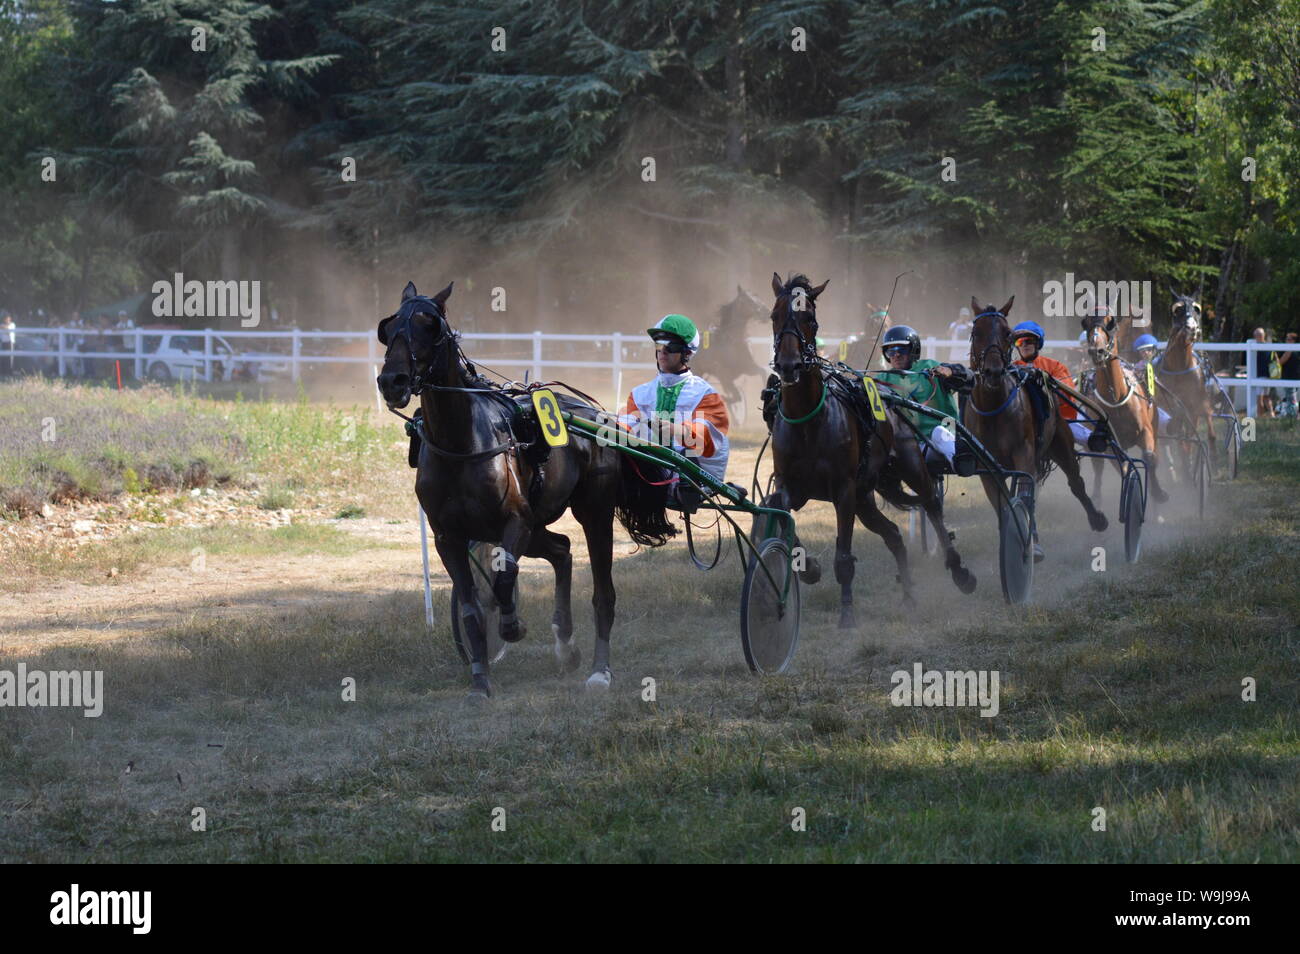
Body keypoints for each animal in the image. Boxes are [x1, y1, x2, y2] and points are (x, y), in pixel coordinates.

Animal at [375, 281, 676, 699]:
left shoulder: (514, 522)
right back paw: (565, 645)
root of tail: (594, 412)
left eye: (429, 325)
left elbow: (504, 580)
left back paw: (600, 670)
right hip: (538, 525)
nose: (393, 381)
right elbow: (471, 607)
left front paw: (512, 626)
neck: (462, 443)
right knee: (562, 551)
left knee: (603, 592)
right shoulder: (447, 537)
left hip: (592, 513)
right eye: (388, 328)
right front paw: (480, 681)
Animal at [764, 273, 975, 627]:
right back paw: (908, 596)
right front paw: (810, 568)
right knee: (893, 534)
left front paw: (847, 614)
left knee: (931, 505)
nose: (789, 365)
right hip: (866, 495)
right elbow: (778, 510)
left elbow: (844, 557)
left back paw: (960, 570)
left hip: (907, 466)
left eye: (810, 319)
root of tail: (893, 397)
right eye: (774, 315)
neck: (809, 419)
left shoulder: (844, 490)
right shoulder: (790, 485)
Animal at [963, 297, 1108, 560]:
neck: (994, 409)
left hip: (1061, 444)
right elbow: (1003, 506)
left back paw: (1096, 519)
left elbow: (1025, 495)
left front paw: (1029, 544)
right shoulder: (987, 470)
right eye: (976, 333)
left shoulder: (1024, 455)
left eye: (1007, 333)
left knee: (1076, 483)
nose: (993, 371)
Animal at [1080, 310, 1169, 505]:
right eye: (1086, 322)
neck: (1115, 397)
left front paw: (1157, 492)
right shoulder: (1108, 443)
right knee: (1099, 466)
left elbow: (1149, 457)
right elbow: (1123, 465)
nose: (1097, 350)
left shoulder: (1146, 430)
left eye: (1110, 322)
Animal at [1158, 294, 1217, 477]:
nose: (1191, 328)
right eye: (1178, 310)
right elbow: (1177, 437)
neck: (1180, 367)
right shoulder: (1170, 406)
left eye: (1196, 309)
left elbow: (1208, 428)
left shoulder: (1198, 404)